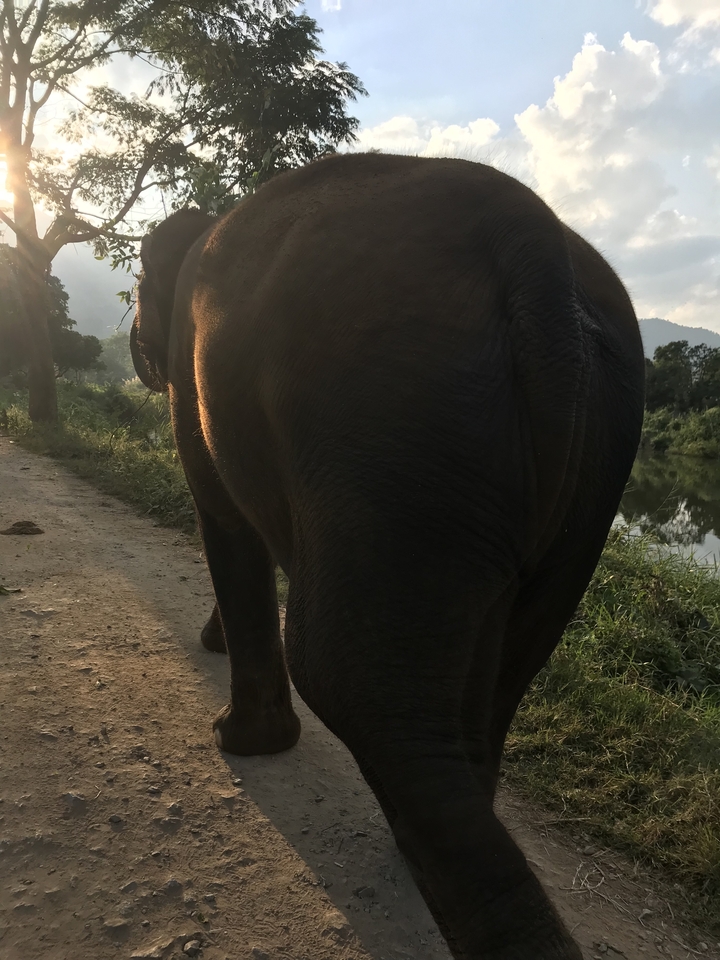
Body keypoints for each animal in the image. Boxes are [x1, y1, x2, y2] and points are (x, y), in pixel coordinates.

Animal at [130, 152, 645, 960]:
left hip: (391, 418)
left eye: (138, 291)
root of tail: (530, 237)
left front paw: (238, 742)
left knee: (347, 675)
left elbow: (223, 515)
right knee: (499, 668)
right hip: (585, 462)